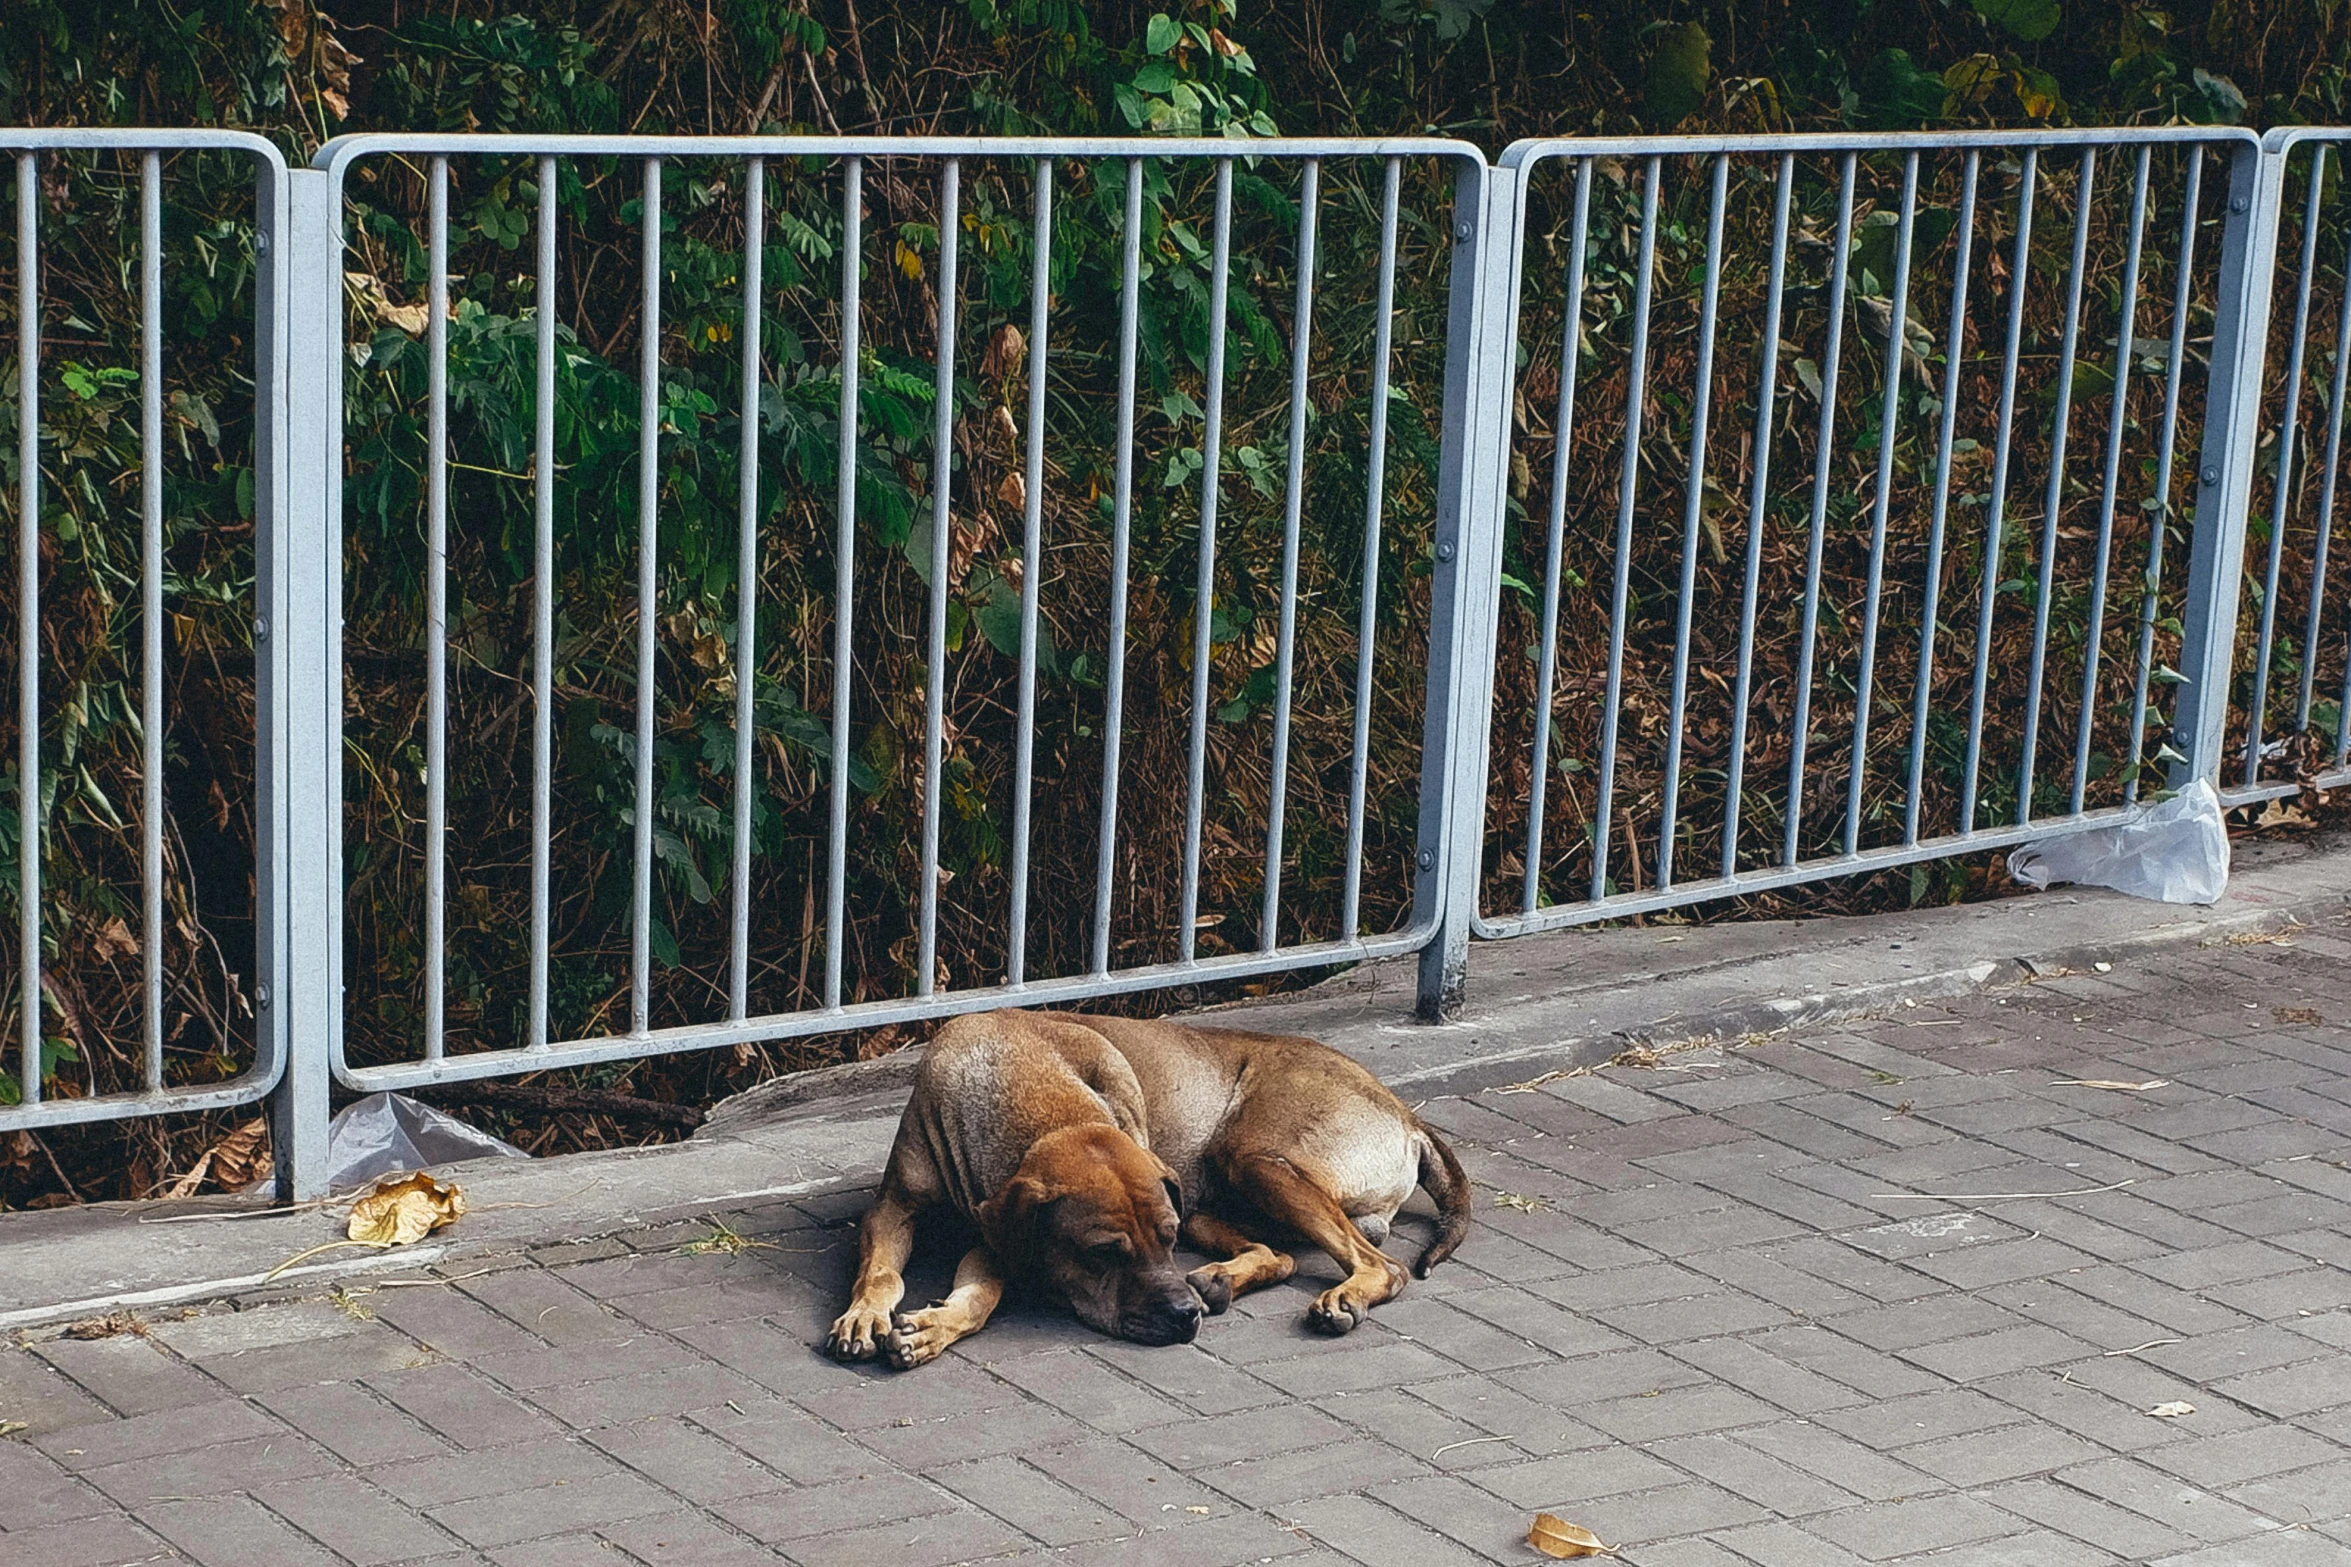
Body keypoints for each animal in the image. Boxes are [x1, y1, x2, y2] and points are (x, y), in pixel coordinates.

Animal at [818, 1010, 1457, 1362]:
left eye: (1166, 1240)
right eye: (1103, 1252)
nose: (1183, 1317)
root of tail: (1408, 1116)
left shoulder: (997, 1233)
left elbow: (983, 1295)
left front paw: (934, 1327)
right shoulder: (896, 1208)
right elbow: (881, 1270)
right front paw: (866, 1315)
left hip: (1255, 1163)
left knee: (1380, 1265)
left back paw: (1335, 1297)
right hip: (1221, 1193)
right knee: (1279, 1254)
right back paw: (1218, 1282)